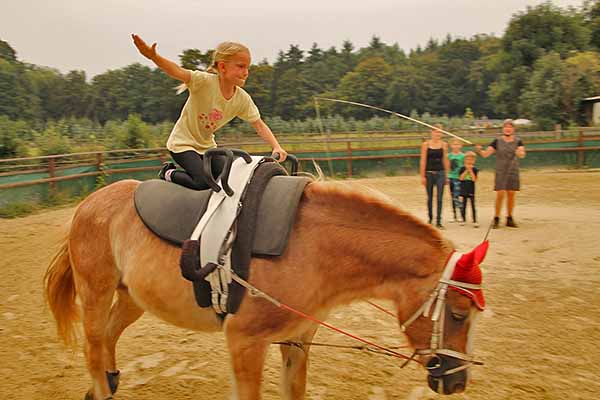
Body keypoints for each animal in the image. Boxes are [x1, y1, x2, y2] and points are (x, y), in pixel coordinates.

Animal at [45, 179, 488, 400]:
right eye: (458, 313)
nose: (458, 382)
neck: (310, 246)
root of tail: (89, 203)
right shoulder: (245, 343)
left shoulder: (297, 341)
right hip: (96, 291)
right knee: (93, 346)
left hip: (132, 297)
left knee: (108, 338)